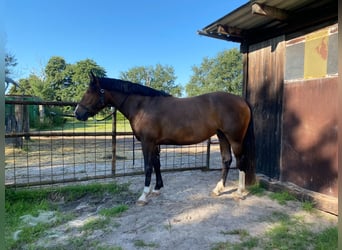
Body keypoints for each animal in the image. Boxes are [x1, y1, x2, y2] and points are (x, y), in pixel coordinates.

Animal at [75, 73, 256, 205]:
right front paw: (156, 189)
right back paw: (218, 189)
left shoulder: (147, 142)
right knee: (226, 160)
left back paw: (240, 192)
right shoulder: (154, 143)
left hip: (234, 138)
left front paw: (143, 196)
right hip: (222, 135)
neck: (143, 107)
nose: (77, 113)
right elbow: (157, 164)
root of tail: (242, 101)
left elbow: (148, 166)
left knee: (241, 160)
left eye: (89, 92)